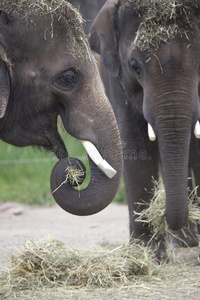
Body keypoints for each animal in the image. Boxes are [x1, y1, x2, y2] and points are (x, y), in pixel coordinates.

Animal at [90, 0, 200, 260]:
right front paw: (147, 253)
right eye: (134, 66)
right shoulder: (116, 77)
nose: (165, 218)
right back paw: (184, 241)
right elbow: (134, 143)